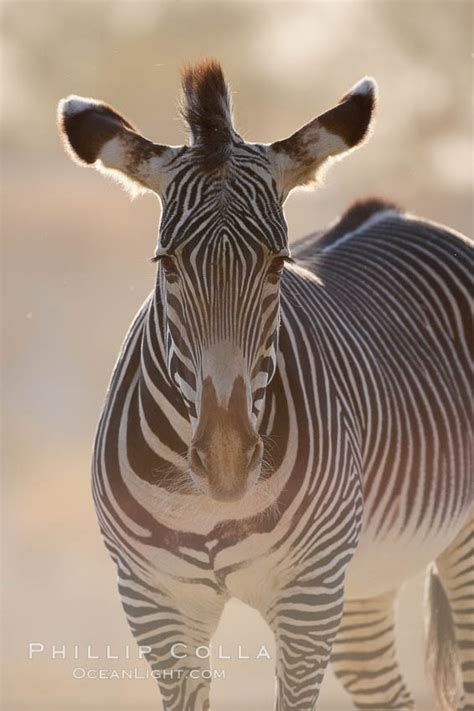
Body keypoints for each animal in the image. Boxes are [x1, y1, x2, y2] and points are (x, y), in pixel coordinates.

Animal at [57, 61, 472, 711]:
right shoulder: (155, 603)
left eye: (278, 264)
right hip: (365, 584)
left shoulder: (308, 598)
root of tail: (394, 214)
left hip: (440, 553)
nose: (227, 463)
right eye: (166, 264)